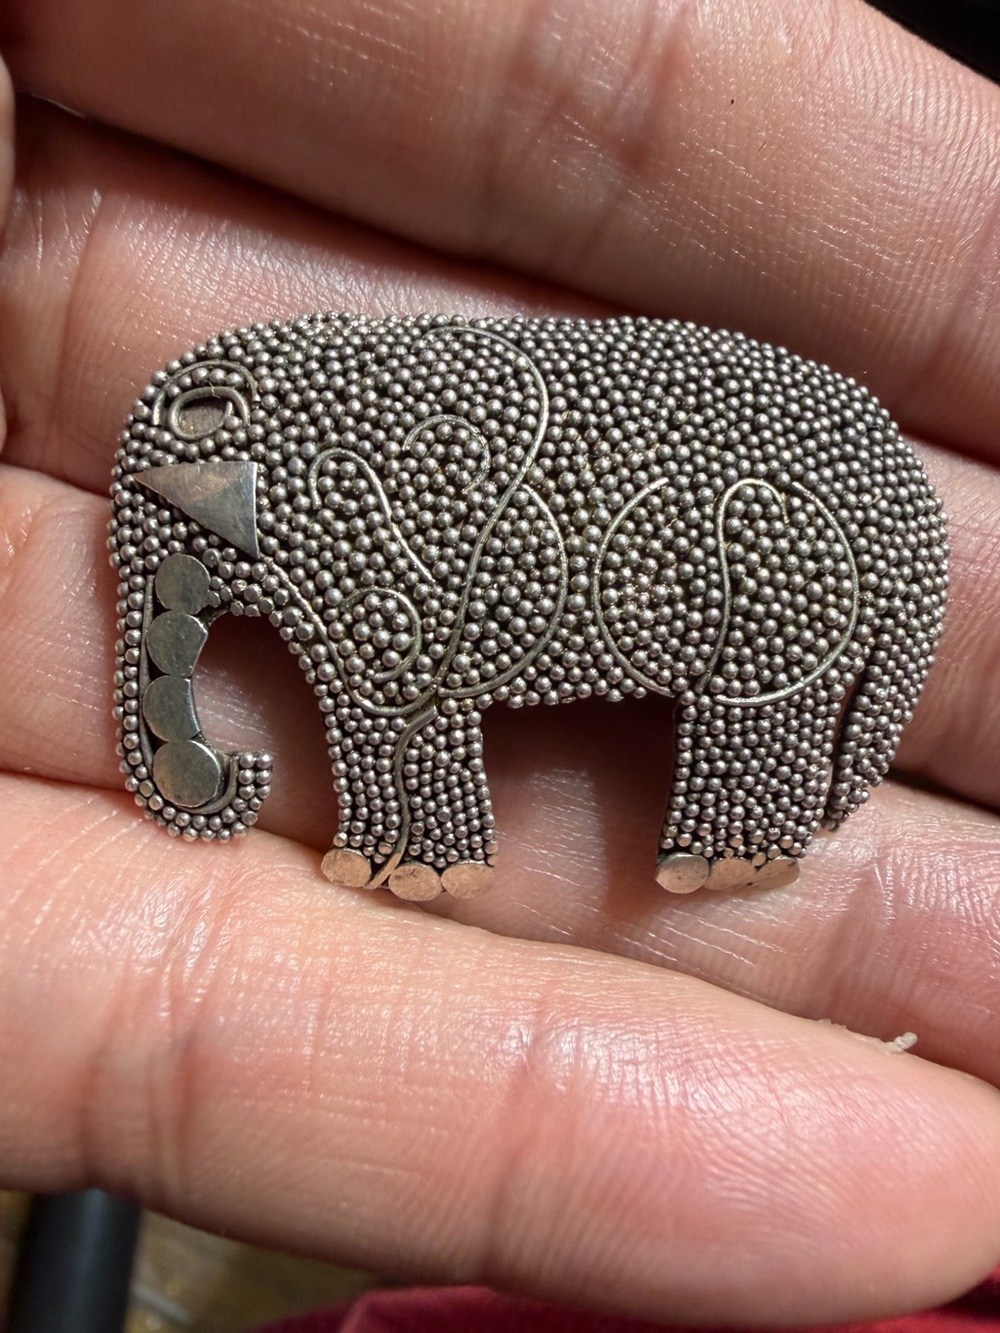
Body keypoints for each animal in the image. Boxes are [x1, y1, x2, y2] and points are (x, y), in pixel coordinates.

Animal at [109, 313, 947, 900]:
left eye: (161, 547)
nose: (246, 767)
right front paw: (384, 869)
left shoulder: (401, 581)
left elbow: (390, 709)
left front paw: (420, 877)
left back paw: (718, 867)